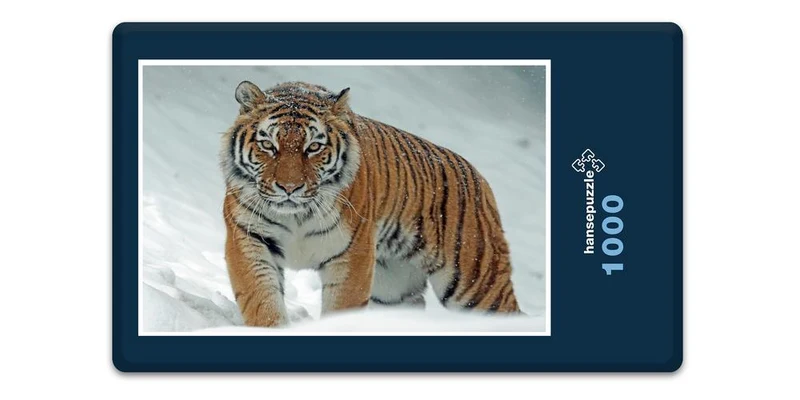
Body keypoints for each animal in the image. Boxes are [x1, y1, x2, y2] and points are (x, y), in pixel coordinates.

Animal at [220, 80, 522, 327]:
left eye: (313, 147)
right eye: (268, 145)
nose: (289, 188)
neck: (296, 215)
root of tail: (480, 179)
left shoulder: (352, 253)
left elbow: (342, 307)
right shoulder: (248, 238)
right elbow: (261, 300)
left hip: (476, 283)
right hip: (394, 288)